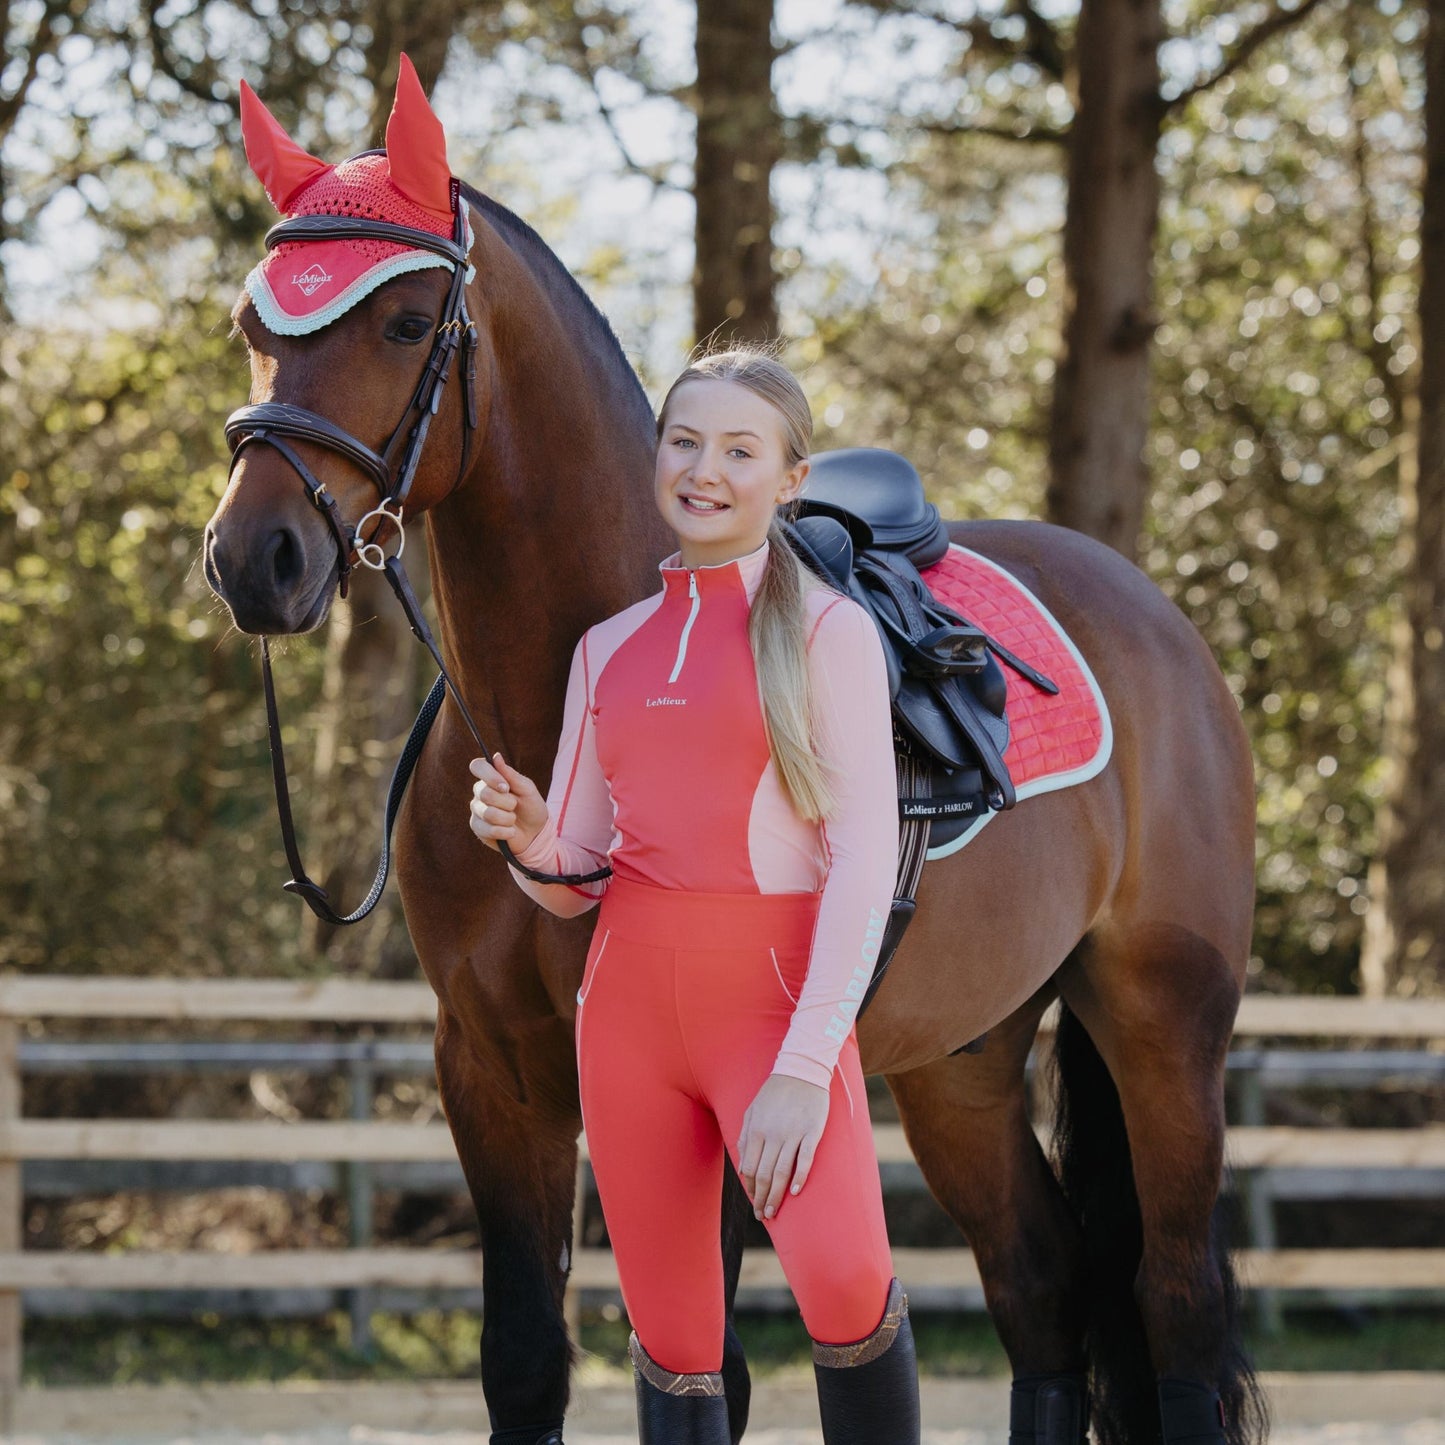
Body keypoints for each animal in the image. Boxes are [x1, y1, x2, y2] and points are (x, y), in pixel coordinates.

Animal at [203, 66, 1265, 1445]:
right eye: (252, 321)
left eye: (404, 321)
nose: (252, 558)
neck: (561, 696)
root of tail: (1157, 624)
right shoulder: (491, 1068)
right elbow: (524, 1357)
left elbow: (704, 1361)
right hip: (962, 1063)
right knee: (1043, 1290)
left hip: (1160, 1025)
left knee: (1173, 1300)